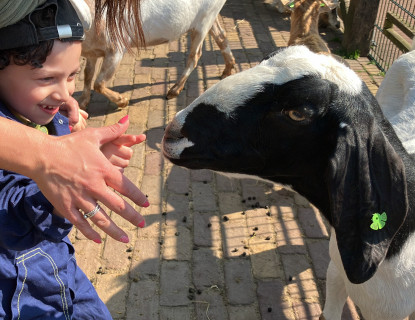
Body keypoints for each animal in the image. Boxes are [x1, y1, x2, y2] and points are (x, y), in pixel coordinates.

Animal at [79, 0, 236, 109]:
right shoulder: (91, 53)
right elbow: (87, 75)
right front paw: (82, 104)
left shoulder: (116, 50)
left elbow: (98, 83)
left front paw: (122, 101)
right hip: (211, 18)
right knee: (221, 36)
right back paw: (227, 71)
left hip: (203, 23)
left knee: (195, 55)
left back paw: (174, 90)